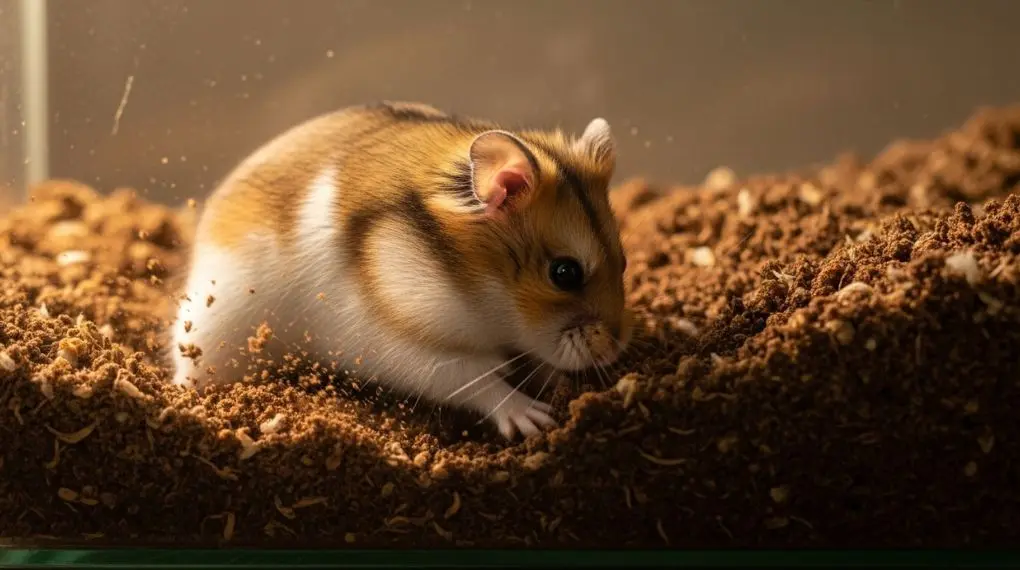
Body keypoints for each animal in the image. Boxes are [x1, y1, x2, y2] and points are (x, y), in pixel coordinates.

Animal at [169, 101, 634, 440]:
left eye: (625, 260)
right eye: (565, 273)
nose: (615, 351)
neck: (469, 284)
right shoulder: (402, 347)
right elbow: (477, 380)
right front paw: (537, 420)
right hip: (218, 333)